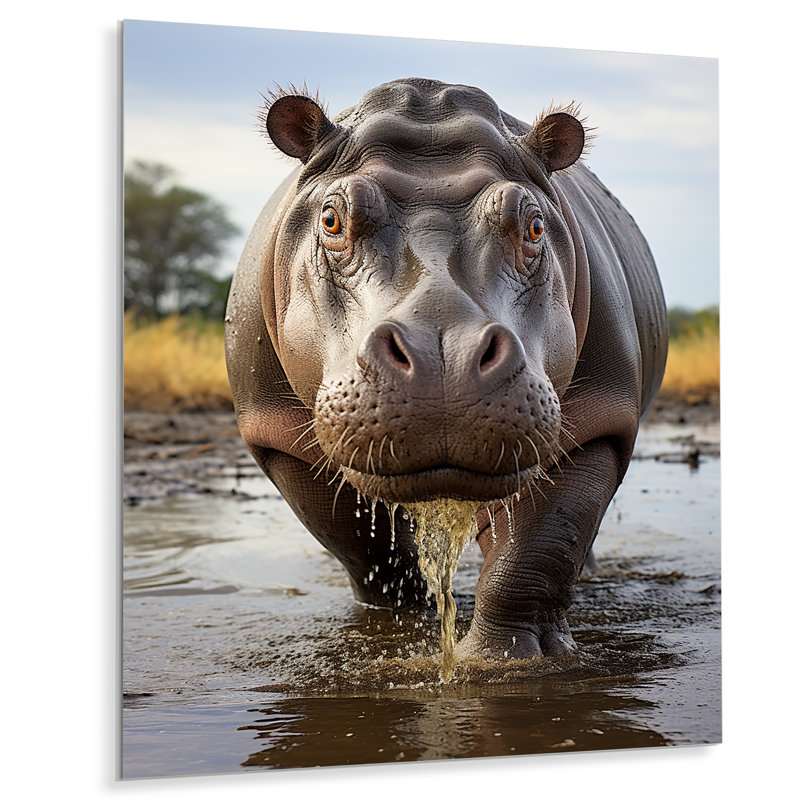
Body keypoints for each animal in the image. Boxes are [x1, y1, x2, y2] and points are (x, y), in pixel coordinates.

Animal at [225, 78, 667, 660]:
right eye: (331, 219)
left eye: (535, 224)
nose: (445, 357)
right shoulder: (278, 436)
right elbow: (370, 555)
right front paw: (390, 638)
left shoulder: (598, 424)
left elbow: (535, 551)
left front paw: (504, 664)